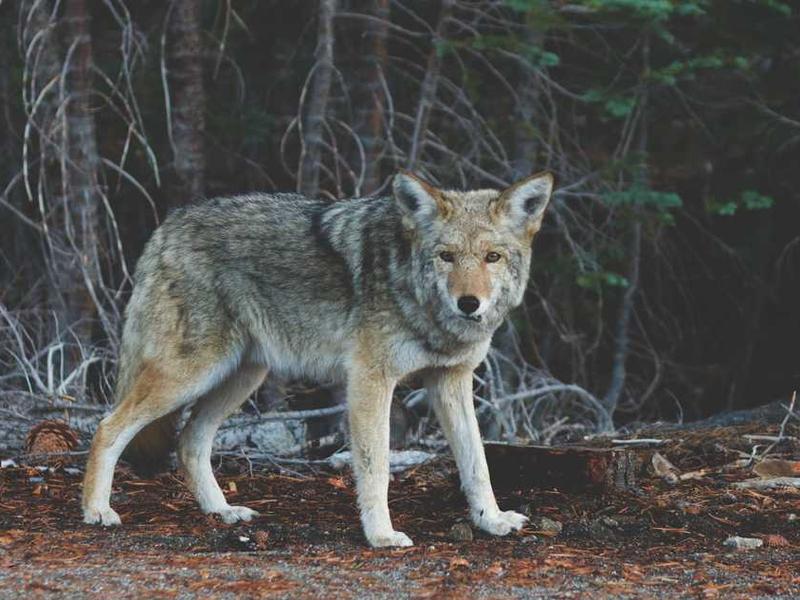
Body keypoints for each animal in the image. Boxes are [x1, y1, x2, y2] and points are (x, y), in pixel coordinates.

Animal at [82, 171, 553, 547]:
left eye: (492, 257)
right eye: (447, 256)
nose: (469, 303)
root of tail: (168, 225)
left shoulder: (450, 381)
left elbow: (477, 463)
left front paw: (492, 520)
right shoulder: (370, 381)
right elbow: (376, 467)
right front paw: (381, 536)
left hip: (241, 377)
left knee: (189, 442)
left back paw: (223, 512)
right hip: (190, 374)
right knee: (108, 427)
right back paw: (97, 511)